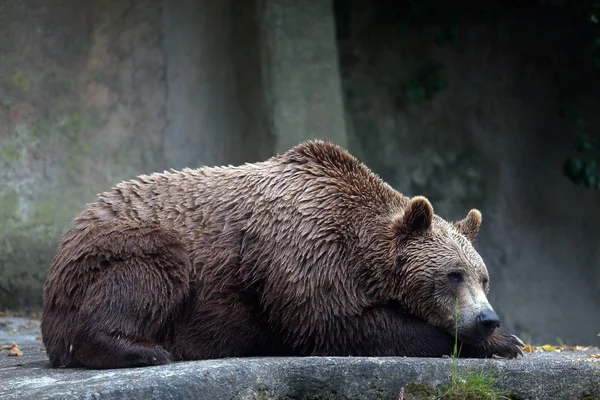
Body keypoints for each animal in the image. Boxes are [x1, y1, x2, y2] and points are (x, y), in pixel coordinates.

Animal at [39, 141, 524, 368]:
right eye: (452, 274)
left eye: (483, 277)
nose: (488, 318)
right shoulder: (299, 255)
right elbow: (339, 324)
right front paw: (501, 343)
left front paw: (505, 340)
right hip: (117, 249)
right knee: (149, 274)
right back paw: (145, 350)